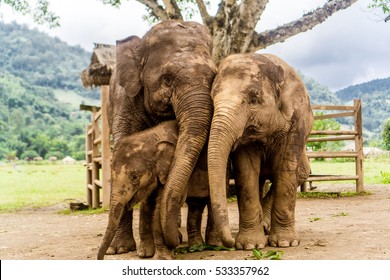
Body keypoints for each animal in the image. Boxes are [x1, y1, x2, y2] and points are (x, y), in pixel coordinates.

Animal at [207, 53, 314, 250]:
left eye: (254, 100)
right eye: (211, 99)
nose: (229, 242)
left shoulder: (297, 123)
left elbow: (285, 169)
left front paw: (285, 243)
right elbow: (246, 171)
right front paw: (250, 246)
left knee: (301, 173)